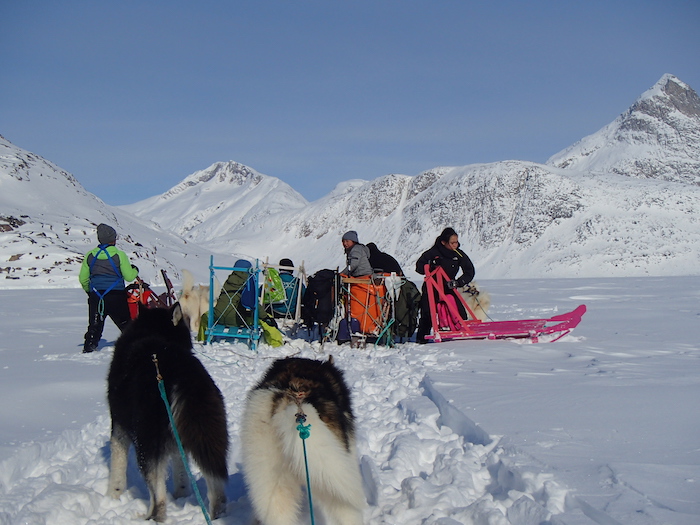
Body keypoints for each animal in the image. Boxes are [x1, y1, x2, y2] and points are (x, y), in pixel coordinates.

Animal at [107, 302, 230, 520]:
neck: (152, 332)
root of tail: (183, 376)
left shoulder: (119, 424)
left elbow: (118, 464)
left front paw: (114, 495)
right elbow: (181, 470)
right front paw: (182, 494)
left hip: (146, 444)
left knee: (159, 500)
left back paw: (149, 518)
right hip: (210, 436)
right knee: (217, 488)